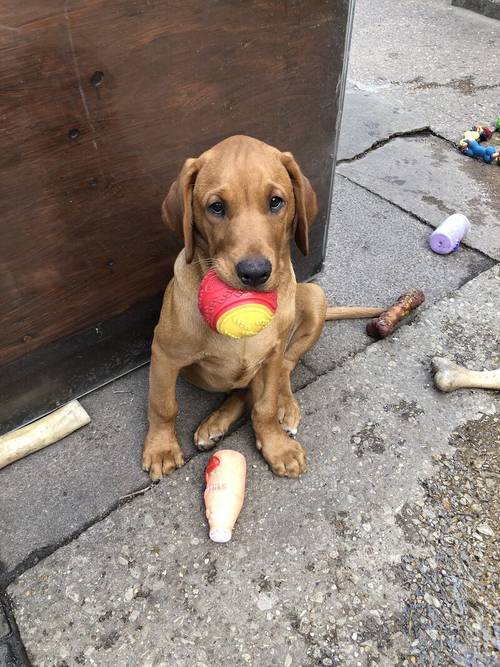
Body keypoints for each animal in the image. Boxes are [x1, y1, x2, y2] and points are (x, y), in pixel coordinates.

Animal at [142, 136, 378, 480]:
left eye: (276, 202)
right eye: (216, 207)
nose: (254, 273)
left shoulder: (271, 354)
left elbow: (265, 406)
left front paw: (276, 445)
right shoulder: (164, 353)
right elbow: (163, 405)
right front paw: (161, 448)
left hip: (315, 296)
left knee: (285, 369)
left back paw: (285, 408)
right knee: (243, 391)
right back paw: (215, 423)